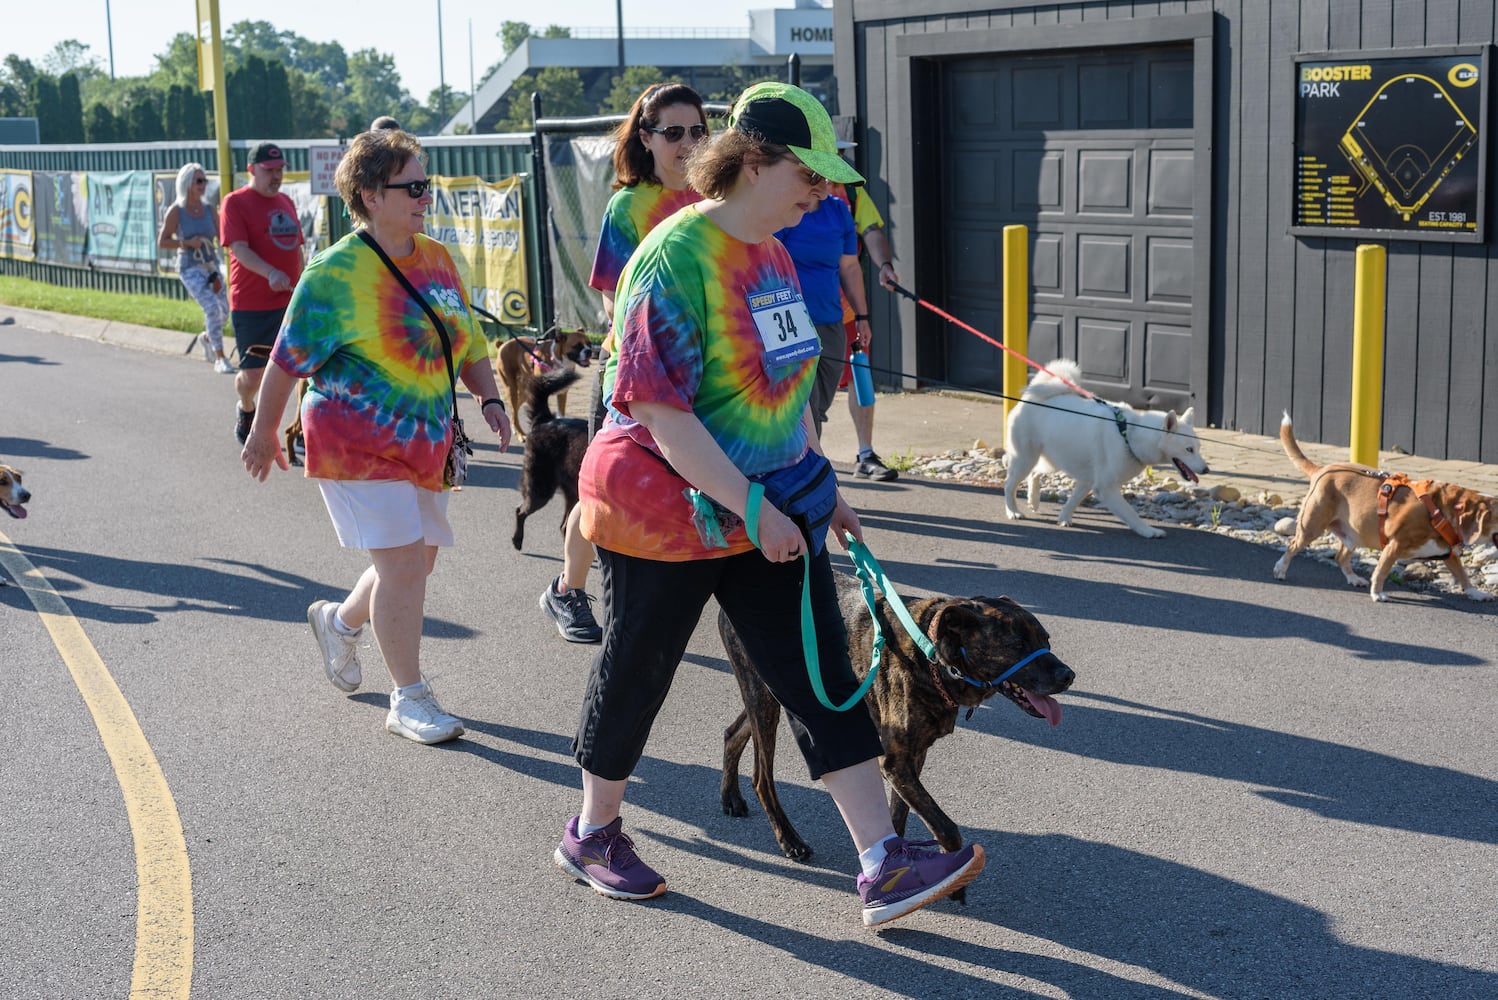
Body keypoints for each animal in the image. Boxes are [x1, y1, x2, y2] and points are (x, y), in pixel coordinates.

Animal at [512, 369, 587, 550]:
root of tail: (545, 419)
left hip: (571, 494)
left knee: (565, 527)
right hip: (541, 489)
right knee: (520, 511)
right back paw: (517, 540)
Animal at [719, 574, 1072, 862]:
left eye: (1046, 640)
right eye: (1018, 644)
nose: (1069, 676)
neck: (932, 655)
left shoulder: (912, 757)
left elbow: (898, 814)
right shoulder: (895, 761)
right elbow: (946, 827)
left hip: (770, 694)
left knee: (733, 732)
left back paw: (731, 797)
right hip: (766, 696)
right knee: (761, 777)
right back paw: (789, 840)